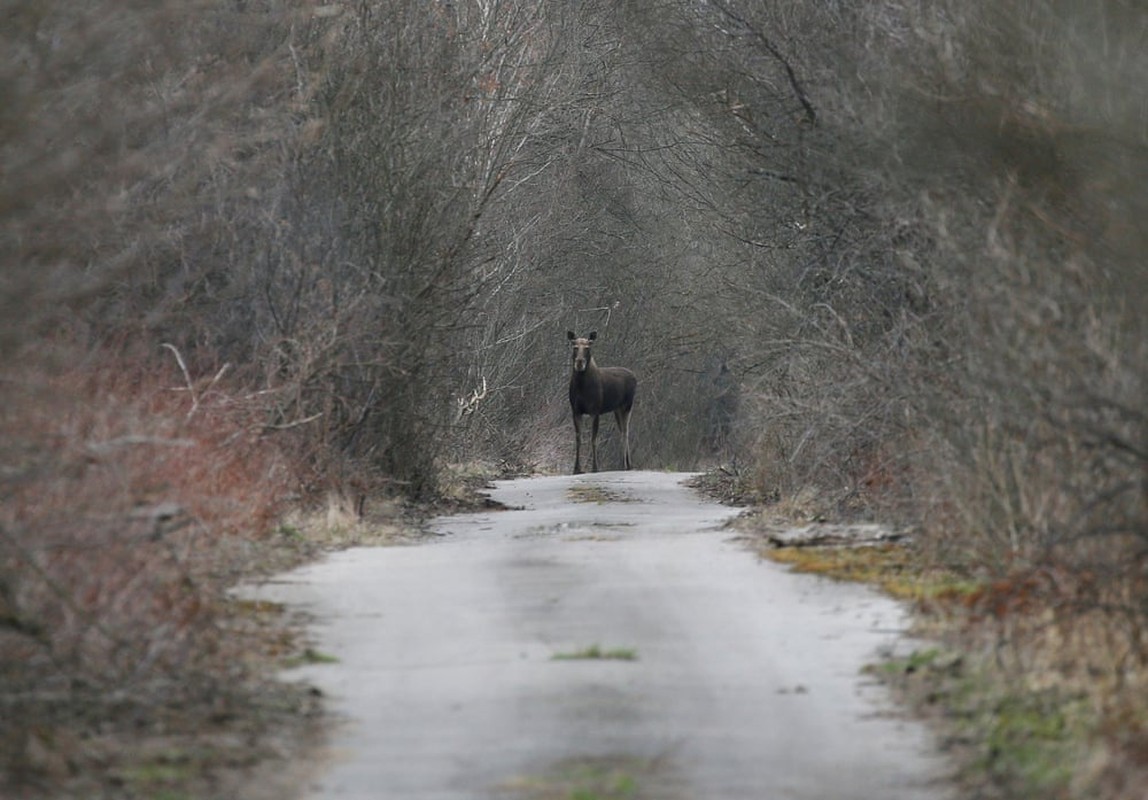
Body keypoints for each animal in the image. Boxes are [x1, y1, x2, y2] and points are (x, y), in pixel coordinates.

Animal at [571, 328, 642, 470]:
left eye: (587, 347)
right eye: (575, 347)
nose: (580, 362)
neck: (581, 386)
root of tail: (634, 376)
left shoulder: (595, 410)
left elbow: (593, 439)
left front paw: (595, 467)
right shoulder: (575, 411)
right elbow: (578, 438)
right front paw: (577, 469)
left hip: (627, 406)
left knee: (625, 431)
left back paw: (625, 464)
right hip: (617, 409)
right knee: (621, 431)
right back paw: (627, 464)